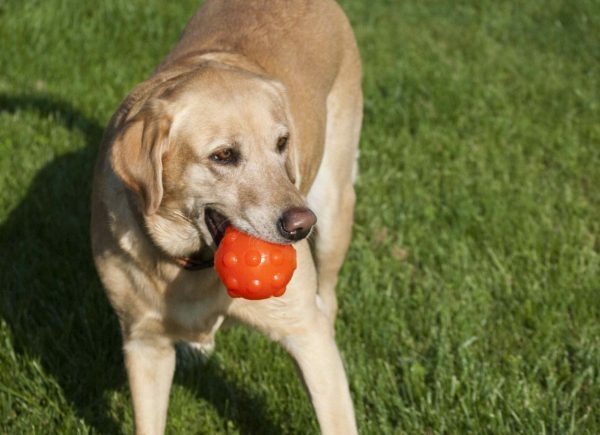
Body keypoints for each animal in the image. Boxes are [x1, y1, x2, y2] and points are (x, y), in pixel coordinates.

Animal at [89, 1, 360, 434]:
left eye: (281, 143)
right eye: (223, 156)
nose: (301, 225)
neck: (191, 268)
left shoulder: (307, 335)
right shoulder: (144, 345)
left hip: (334, 207)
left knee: (329, 294)